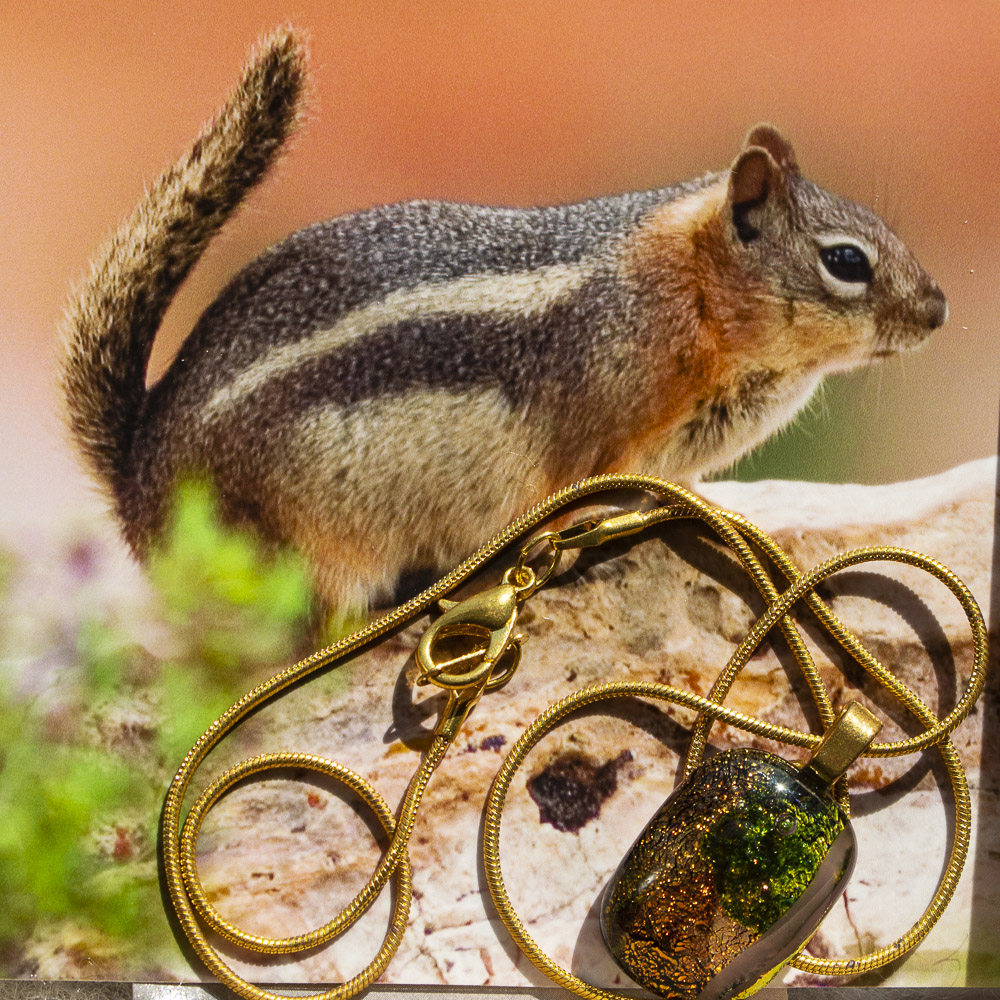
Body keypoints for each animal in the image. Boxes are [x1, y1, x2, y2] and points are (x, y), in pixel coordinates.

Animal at [60, 28, 948, 610]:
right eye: (846, 262)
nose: (939, 310)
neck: (685, 291)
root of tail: (137, 478)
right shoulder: (606, 432)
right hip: (302, 555)